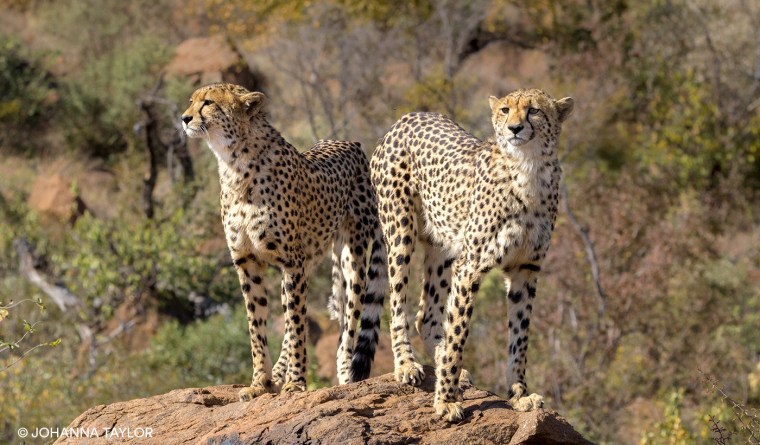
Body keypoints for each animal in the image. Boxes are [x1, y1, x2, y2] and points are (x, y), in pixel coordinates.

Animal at [181, 83, 386, 401]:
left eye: (208, 103)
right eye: (191, 101)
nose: (184, 118)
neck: (234, 162)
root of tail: (351, 142)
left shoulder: (292, 262)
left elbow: (299, 326)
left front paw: (297, 382)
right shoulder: (248, 262)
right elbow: (257, 327)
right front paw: (259, 383)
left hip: (353, 255)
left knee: (348, 319)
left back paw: (344, 376)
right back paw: (278, 372)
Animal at [370, 88, 574, 421]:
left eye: (534, 111)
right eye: (505, 110)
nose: (514, 128)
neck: (528, 169)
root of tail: (409, 116)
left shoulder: (526, 269)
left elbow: (519, 338)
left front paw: (520, 395)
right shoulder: (471, 266)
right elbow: (458, 333)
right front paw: (445, 400)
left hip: (442, 246)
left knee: (427, 314)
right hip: (400, 231)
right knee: (398, 303)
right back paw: (407, 364)